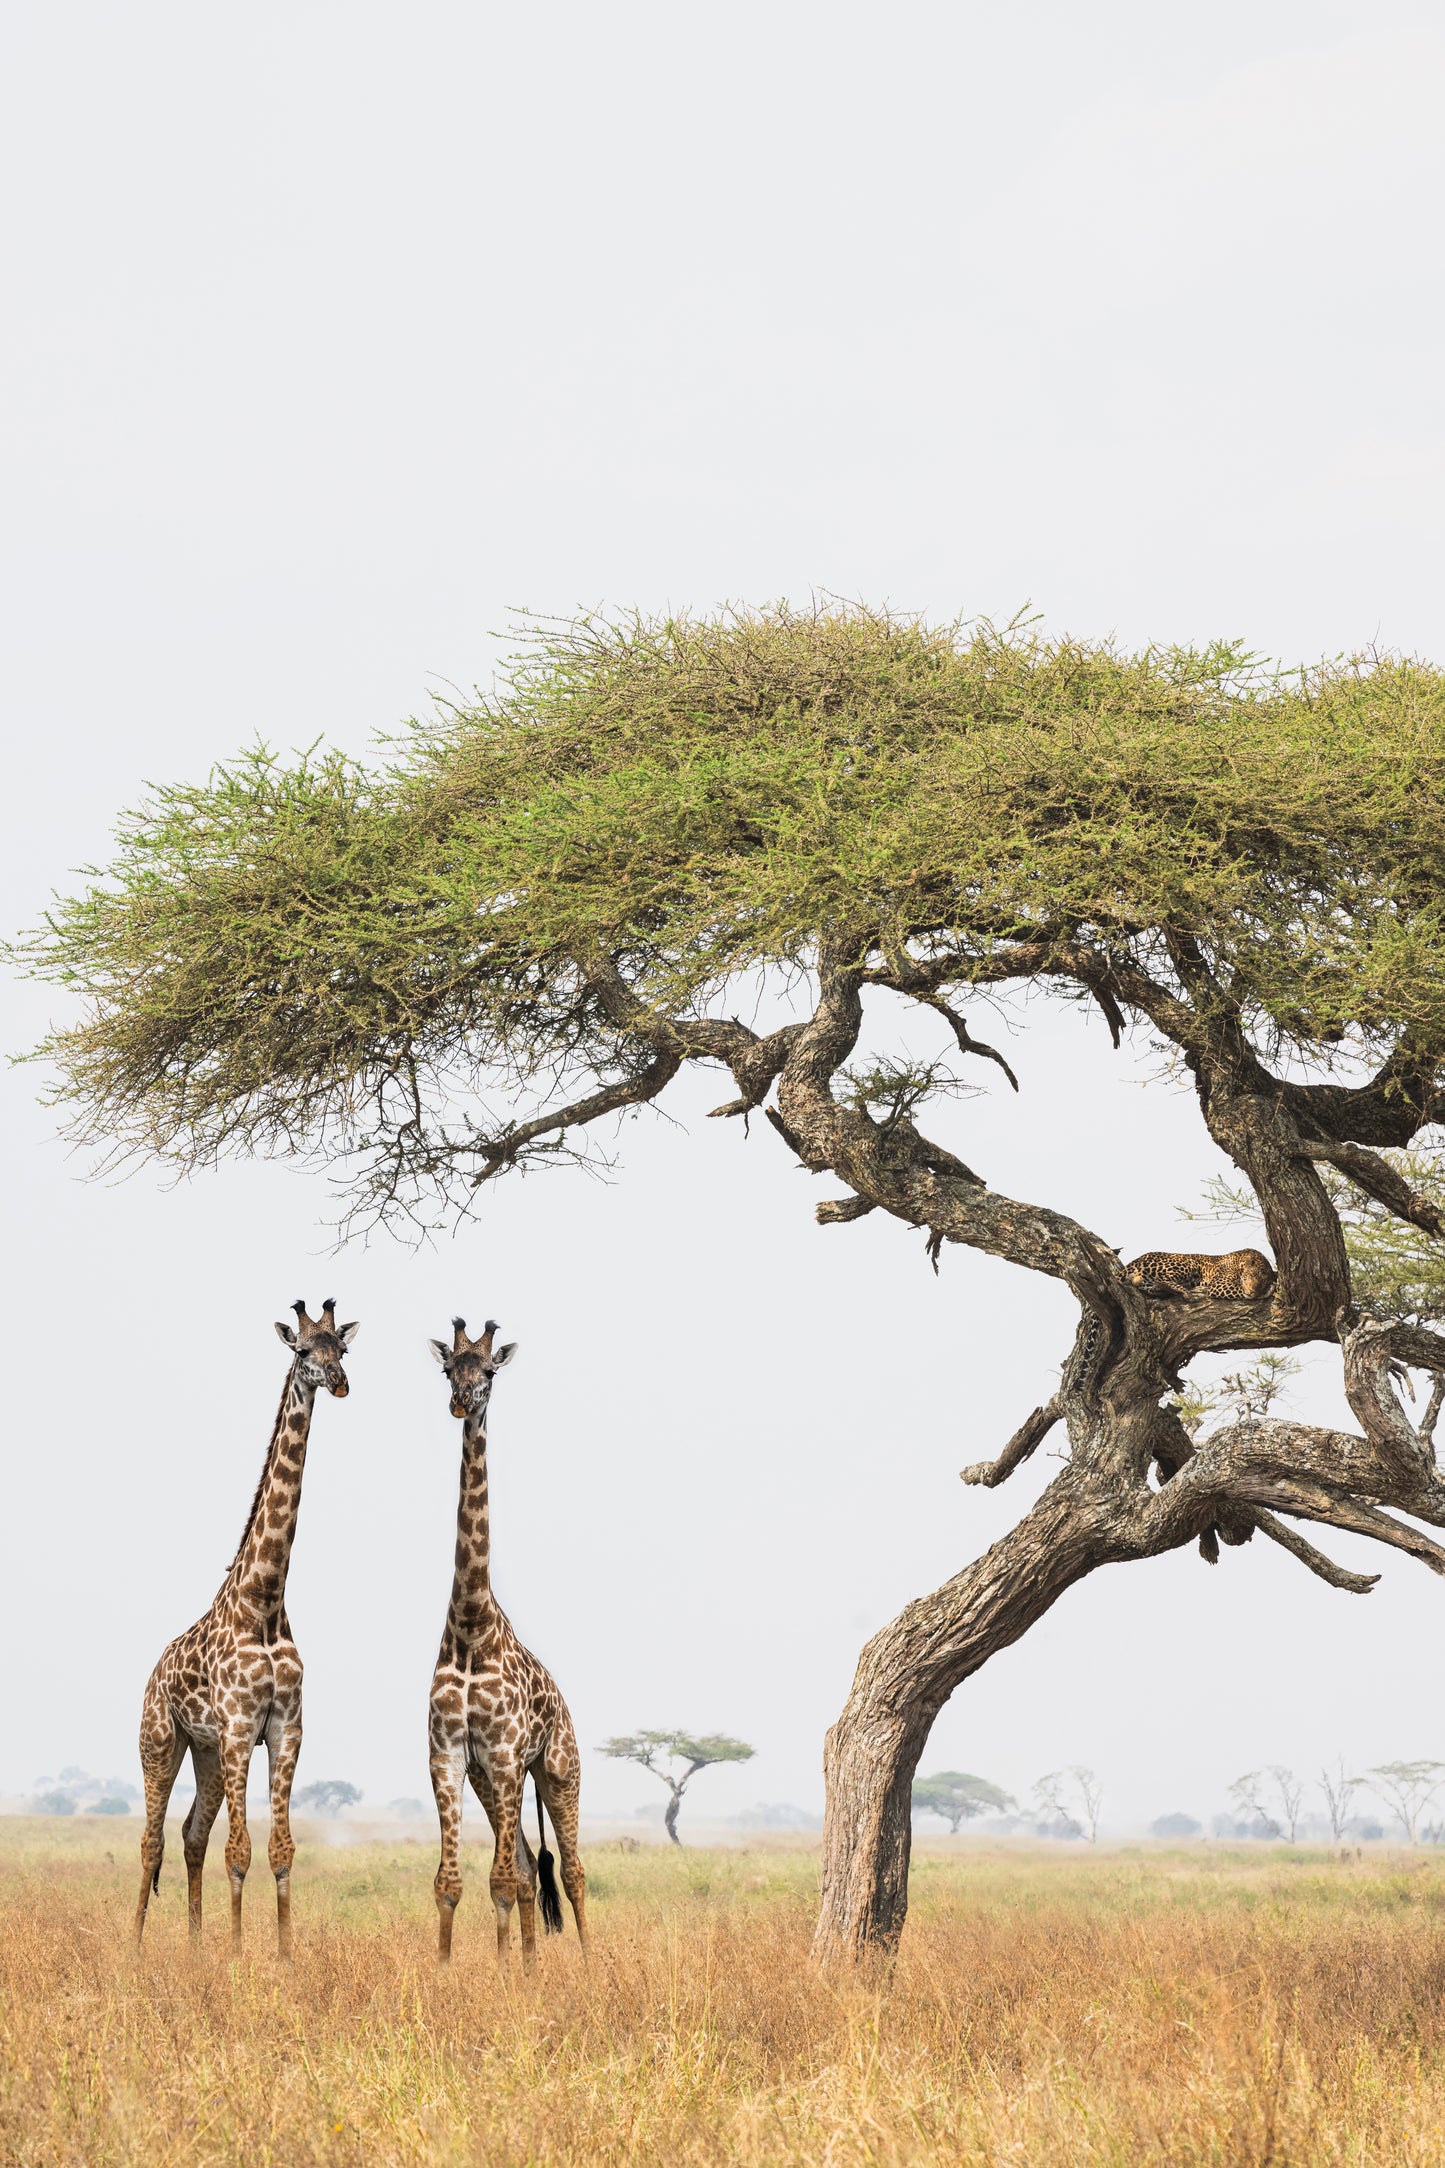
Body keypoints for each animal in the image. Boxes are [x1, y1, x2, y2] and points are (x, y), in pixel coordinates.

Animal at [132, 1298, 358, 1957]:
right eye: (303, 1351)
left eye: (342, 1348)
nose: (339, 1382)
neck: (265, 1600)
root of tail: (153, 1672)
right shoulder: (238, 1727)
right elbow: (241, 1850)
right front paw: (237, 1957)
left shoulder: (284, 1727)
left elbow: (280, 1849)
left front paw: (281, 1956)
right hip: (160, 1742)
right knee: (152, 1840)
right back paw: (135, 1946)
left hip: (204, 1751)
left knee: (190, 1834)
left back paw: (194, 1947)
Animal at [1124, 1248, 1276, 1301]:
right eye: (1251, 1276)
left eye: (1263, 1283)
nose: (1252, 1291)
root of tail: (1138, 1259)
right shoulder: (1219, 1285)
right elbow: (1239, 1289)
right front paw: (1268, 1291)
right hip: (1187, 1262)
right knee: (1162, 1279)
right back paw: (1185, 1292)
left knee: (1150, 1287)